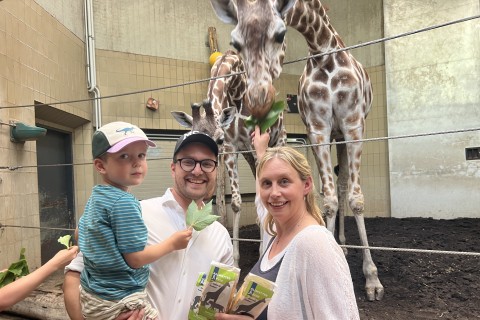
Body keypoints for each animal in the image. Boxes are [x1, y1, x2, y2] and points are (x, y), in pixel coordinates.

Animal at [172, 50, 284, 266]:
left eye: (219, 139)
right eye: (191, 134)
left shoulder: (251, 144)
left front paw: (262, 250)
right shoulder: (233, 149)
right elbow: (236, 202)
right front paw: (235, 259)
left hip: (279, 139)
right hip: (249, 156)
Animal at [212, 0, 384, 302]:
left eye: (281, 34)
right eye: (236, 41)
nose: (258, 100)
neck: (323, 52)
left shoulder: (353, 124)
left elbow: (356, 199)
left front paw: (372, 280)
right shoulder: (317, 128)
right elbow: (328, 200)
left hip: (341, 136)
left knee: (343, 183)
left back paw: (344, 244)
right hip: (327, 137)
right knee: (334, 187)